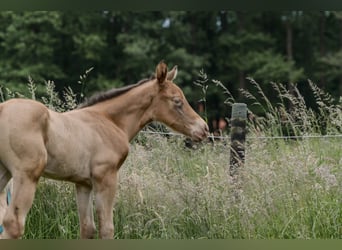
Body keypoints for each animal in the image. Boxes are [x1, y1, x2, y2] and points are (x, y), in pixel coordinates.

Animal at [0, 61, 208, 239]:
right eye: (177, 101)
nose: (204, 129)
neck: (110, 121)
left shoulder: (83, 183)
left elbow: (88, 228)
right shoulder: (106, 177)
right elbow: (107, 228)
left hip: (4, 174)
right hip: (26, 174)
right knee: (13, 224)